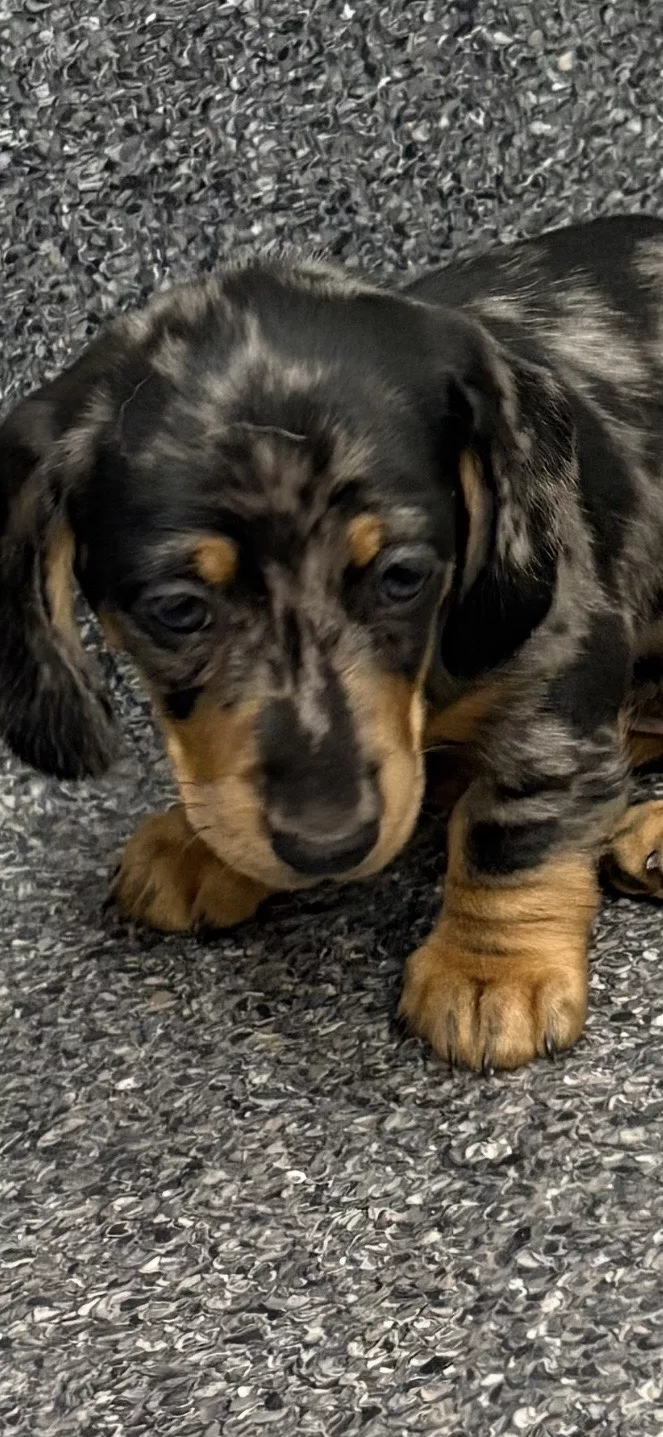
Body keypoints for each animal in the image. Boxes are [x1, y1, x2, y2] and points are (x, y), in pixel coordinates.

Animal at [3, 214, 663, 1072]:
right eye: (178, 610)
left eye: (402, 575)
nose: (328, 844)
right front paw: (201, 843)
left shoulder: (561, 649)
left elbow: (516, 815)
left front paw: (491, 966)